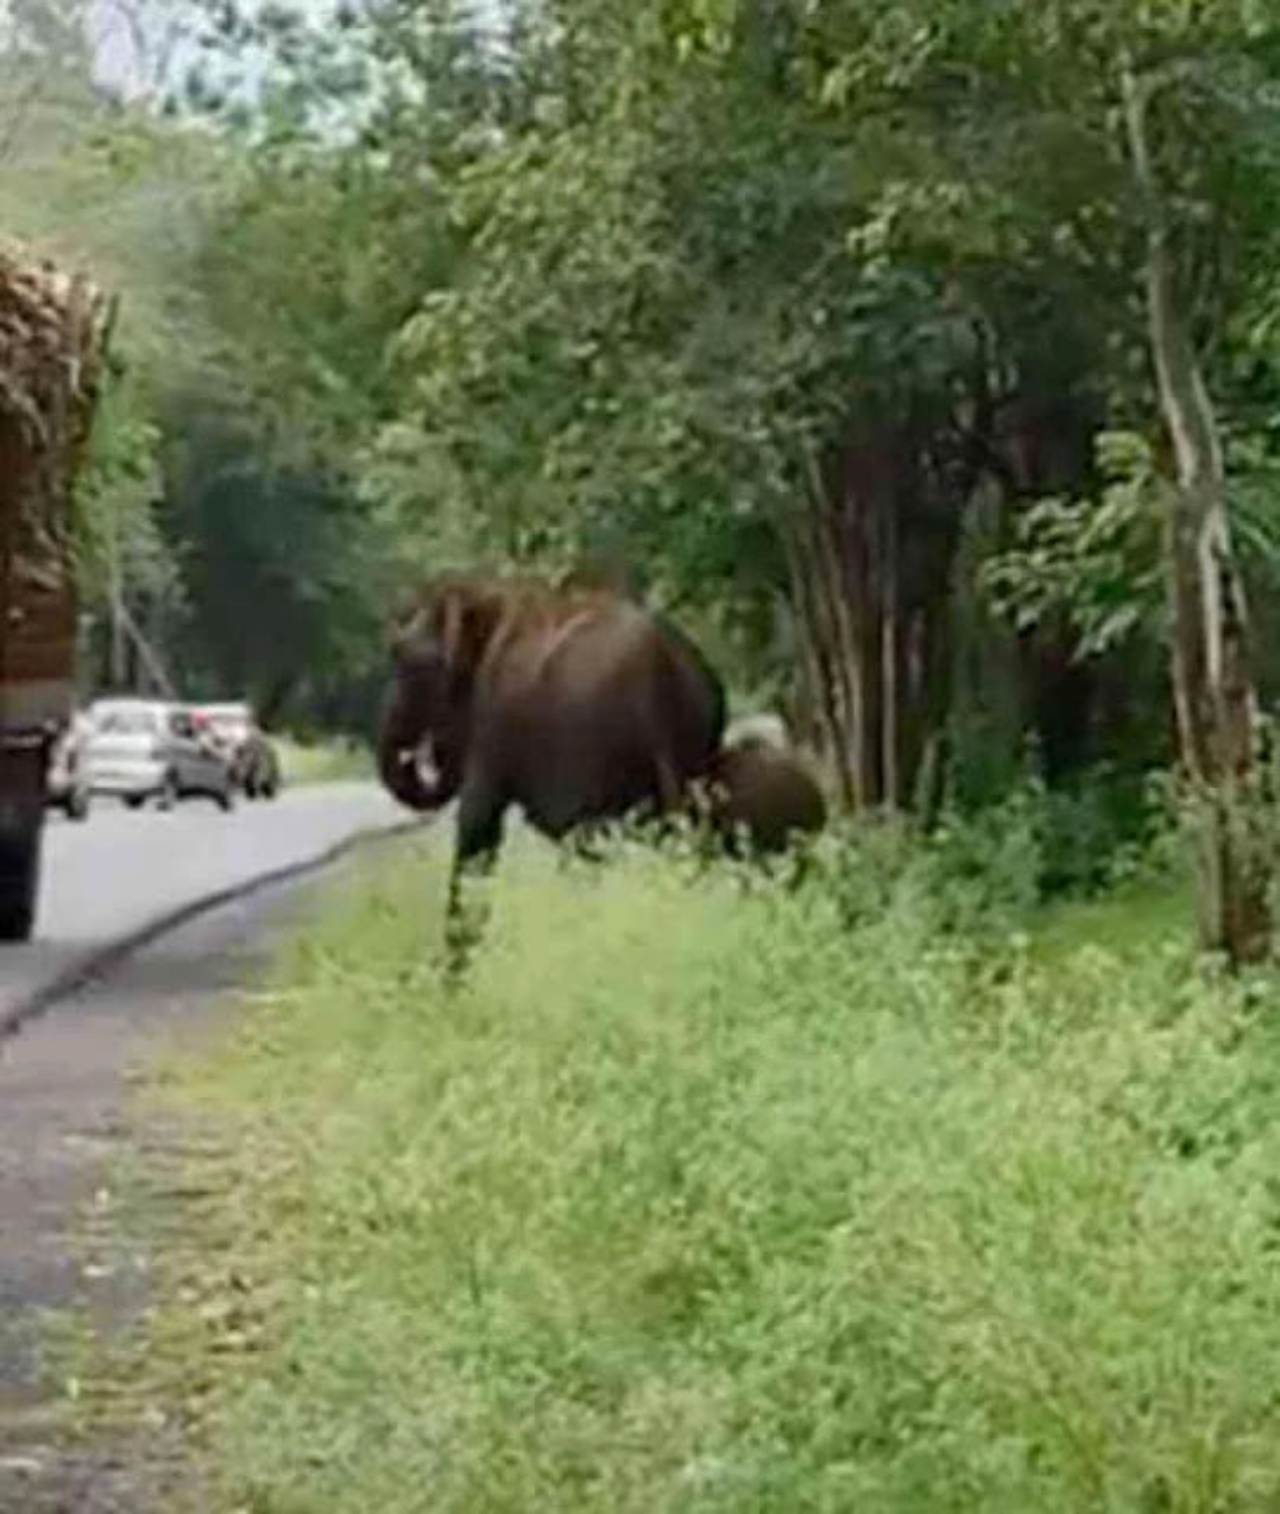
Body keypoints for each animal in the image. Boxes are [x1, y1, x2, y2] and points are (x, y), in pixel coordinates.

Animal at [374, 572, 724, 975]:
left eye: (407, 661)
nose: (423, 754)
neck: (490, 597)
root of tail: (665, 677)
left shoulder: (495, 718)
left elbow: (477, 826)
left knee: (587, 849)